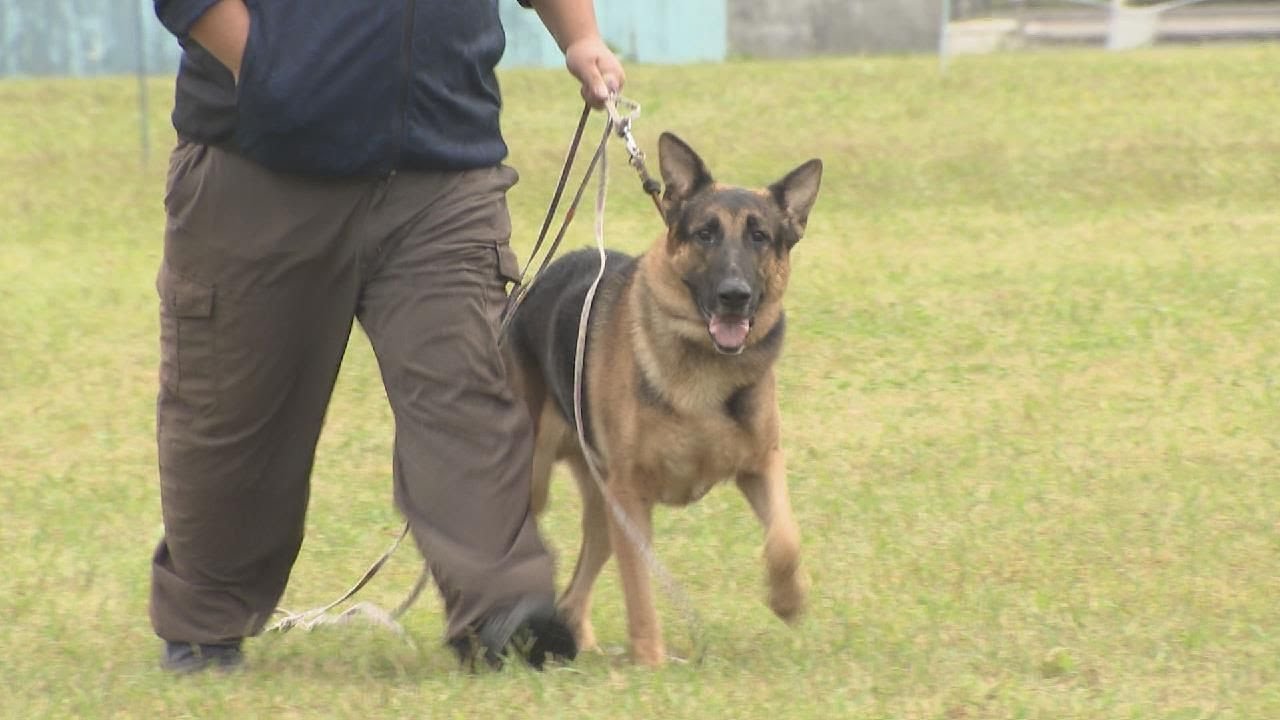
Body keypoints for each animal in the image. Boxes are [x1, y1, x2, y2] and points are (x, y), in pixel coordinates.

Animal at [499, 131, 819, 666]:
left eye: (760, 237)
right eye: (706, 234)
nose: (734, 295)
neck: (705, 364)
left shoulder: (762, 464)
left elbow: (785, 539)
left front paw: (788, 598)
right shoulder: (631, 496)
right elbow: (640, 591)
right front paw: (650, 660)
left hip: (602, 509)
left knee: (575, 591)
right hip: (541, 483)